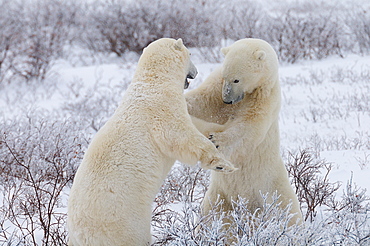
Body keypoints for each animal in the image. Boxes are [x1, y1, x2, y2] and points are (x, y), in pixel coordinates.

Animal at [67, 38, 236, 246]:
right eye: (190, 54)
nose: (196, 71)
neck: (154, 81)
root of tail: (80, 235)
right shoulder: (162, 110)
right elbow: (182, 136)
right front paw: (223, 164)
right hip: (124, 222)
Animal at [186, 38, 302, 225]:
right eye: (226, 77)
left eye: (237, 80)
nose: (227, 100)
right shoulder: (216, 87)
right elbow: (201, 102)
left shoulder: (265, 98)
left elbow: (248, 127)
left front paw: (216, 140)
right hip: (219, 195)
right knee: (214, 217)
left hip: (274, 189)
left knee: (287, 214)